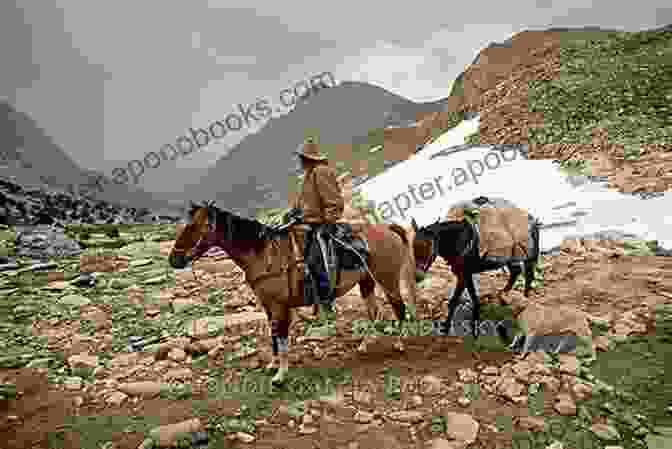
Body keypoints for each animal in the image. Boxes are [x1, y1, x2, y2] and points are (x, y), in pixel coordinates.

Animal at [169, 201, 414, 384]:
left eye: (193, 227)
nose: (173, 259)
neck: (263, 255)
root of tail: (388, 229)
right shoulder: (268, 307)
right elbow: (274, 337)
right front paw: (273, 365)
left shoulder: (279, 306)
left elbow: (282, 337)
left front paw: (281, 375)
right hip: (366, 282)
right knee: (375, 313)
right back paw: (365, 344)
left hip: (387, 280)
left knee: (399, 308)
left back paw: (400, 343)